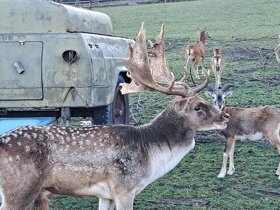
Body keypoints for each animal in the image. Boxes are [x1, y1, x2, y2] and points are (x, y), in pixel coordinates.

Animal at [0, 23, 230, 210]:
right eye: (198, 107)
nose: (225, 116)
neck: (151, 154)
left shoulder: (106, 195)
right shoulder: (124, 188)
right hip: (18, 190)